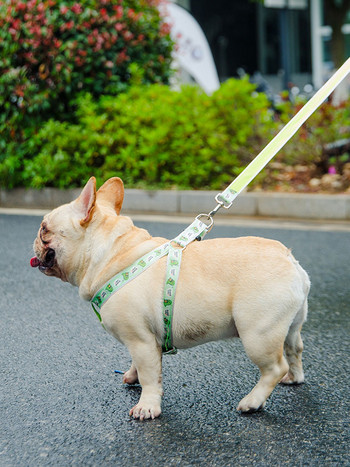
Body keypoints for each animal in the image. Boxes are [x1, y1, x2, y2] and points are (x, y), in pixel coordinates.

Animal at [31, 176, 310, 420]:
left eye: (44, 229)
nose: (34, 241)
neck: (112, 253)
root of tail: (288, 258)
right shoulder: (145, 340)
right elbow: (141, 365)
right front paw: (131, 376)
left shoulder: (140, 339)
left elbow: (149, 376)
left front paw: (147, 407)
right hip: (288, 325)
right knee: (294, 349)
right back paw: (294, 378)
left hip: (257, 334)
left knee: (275, 368)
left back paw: (252, 402)